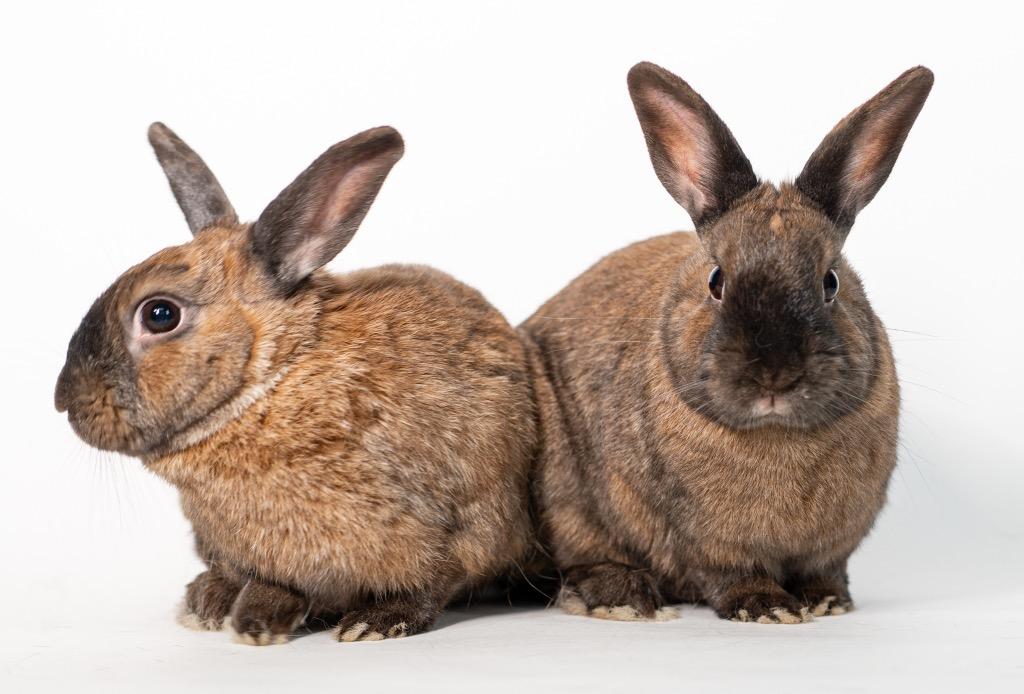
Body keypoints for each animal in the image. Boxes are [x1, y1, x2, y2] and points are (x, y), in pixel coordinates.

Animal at [54, 123, 539, 644]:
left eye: (160, 314)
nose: (64, 401)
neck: (270, 384)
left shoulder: (456, 518)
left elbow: (436, 578)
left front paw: (372, 623)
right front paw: (241, 618)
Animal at [521, 63, 933, 624]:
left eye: (831, 282)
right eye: (716, 280)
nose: (775, 374)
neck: (777, 435)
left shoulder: (833, 546)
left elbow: (825, 570)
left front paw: (827, 602)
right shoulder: (707, 544)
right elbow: (729, 574)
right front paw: (767, 608)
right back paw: (623, 598)